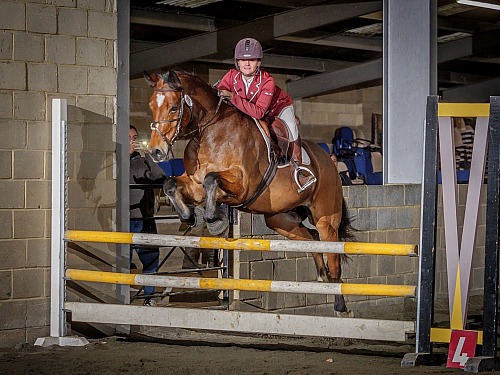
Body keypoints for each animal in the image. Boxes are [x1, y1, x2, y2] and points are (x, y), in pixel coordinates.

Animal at [145, 70, 354, 314]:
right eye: (151, 105)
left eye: (173, 108)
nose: (155, 152)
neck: (210, 132)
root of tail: (328, 161)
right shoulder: (194, 184)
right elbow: (171, 184)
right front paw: (191, 216)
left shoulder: (243, 185)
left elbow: (211, 179)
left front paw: (214, 220)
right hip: (281, 220)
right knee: (311, 240)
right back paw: (322, 279)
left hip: (325, 218)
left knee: (332, 254)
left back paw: (340, 305)